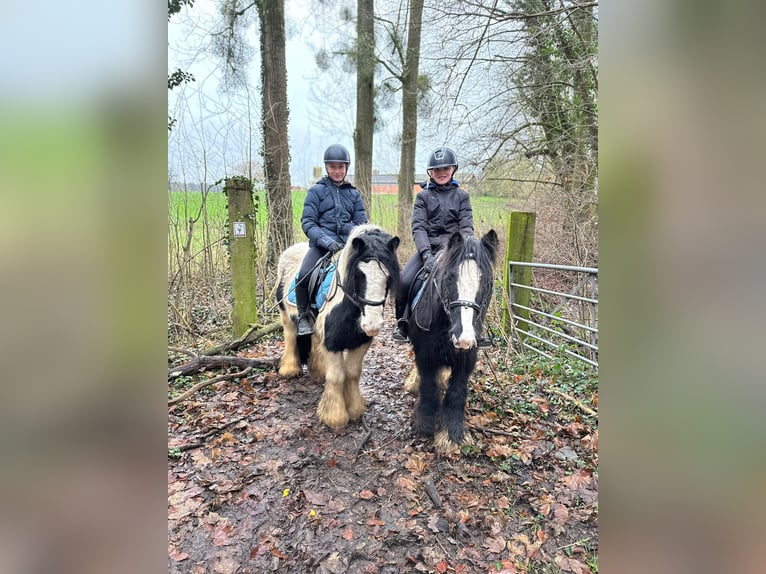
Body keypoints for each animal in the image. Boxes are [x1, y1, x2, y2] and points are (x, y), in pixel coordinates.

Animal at [276, 225, 402, 432]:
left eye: (388, 276)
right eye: (359, 274)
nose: (372, 325)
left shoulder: (359, 343)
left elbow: (352, 373)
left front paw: (355, 409)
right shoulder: (332, 344)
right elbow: (336, 377)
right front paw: (334, 416)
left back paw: (317, 371)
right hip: (286, 315)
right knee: (290, 337)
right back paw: (289, 369)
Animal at [412, 230, 500, 450]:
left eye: (487, 281)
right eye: (450, 278)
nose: (464, 338)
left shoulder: (467, 358)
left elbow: (456, 391)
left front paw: (453, 433)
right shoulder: (424, 355)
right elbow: (428, 386)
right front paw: (425, 422)